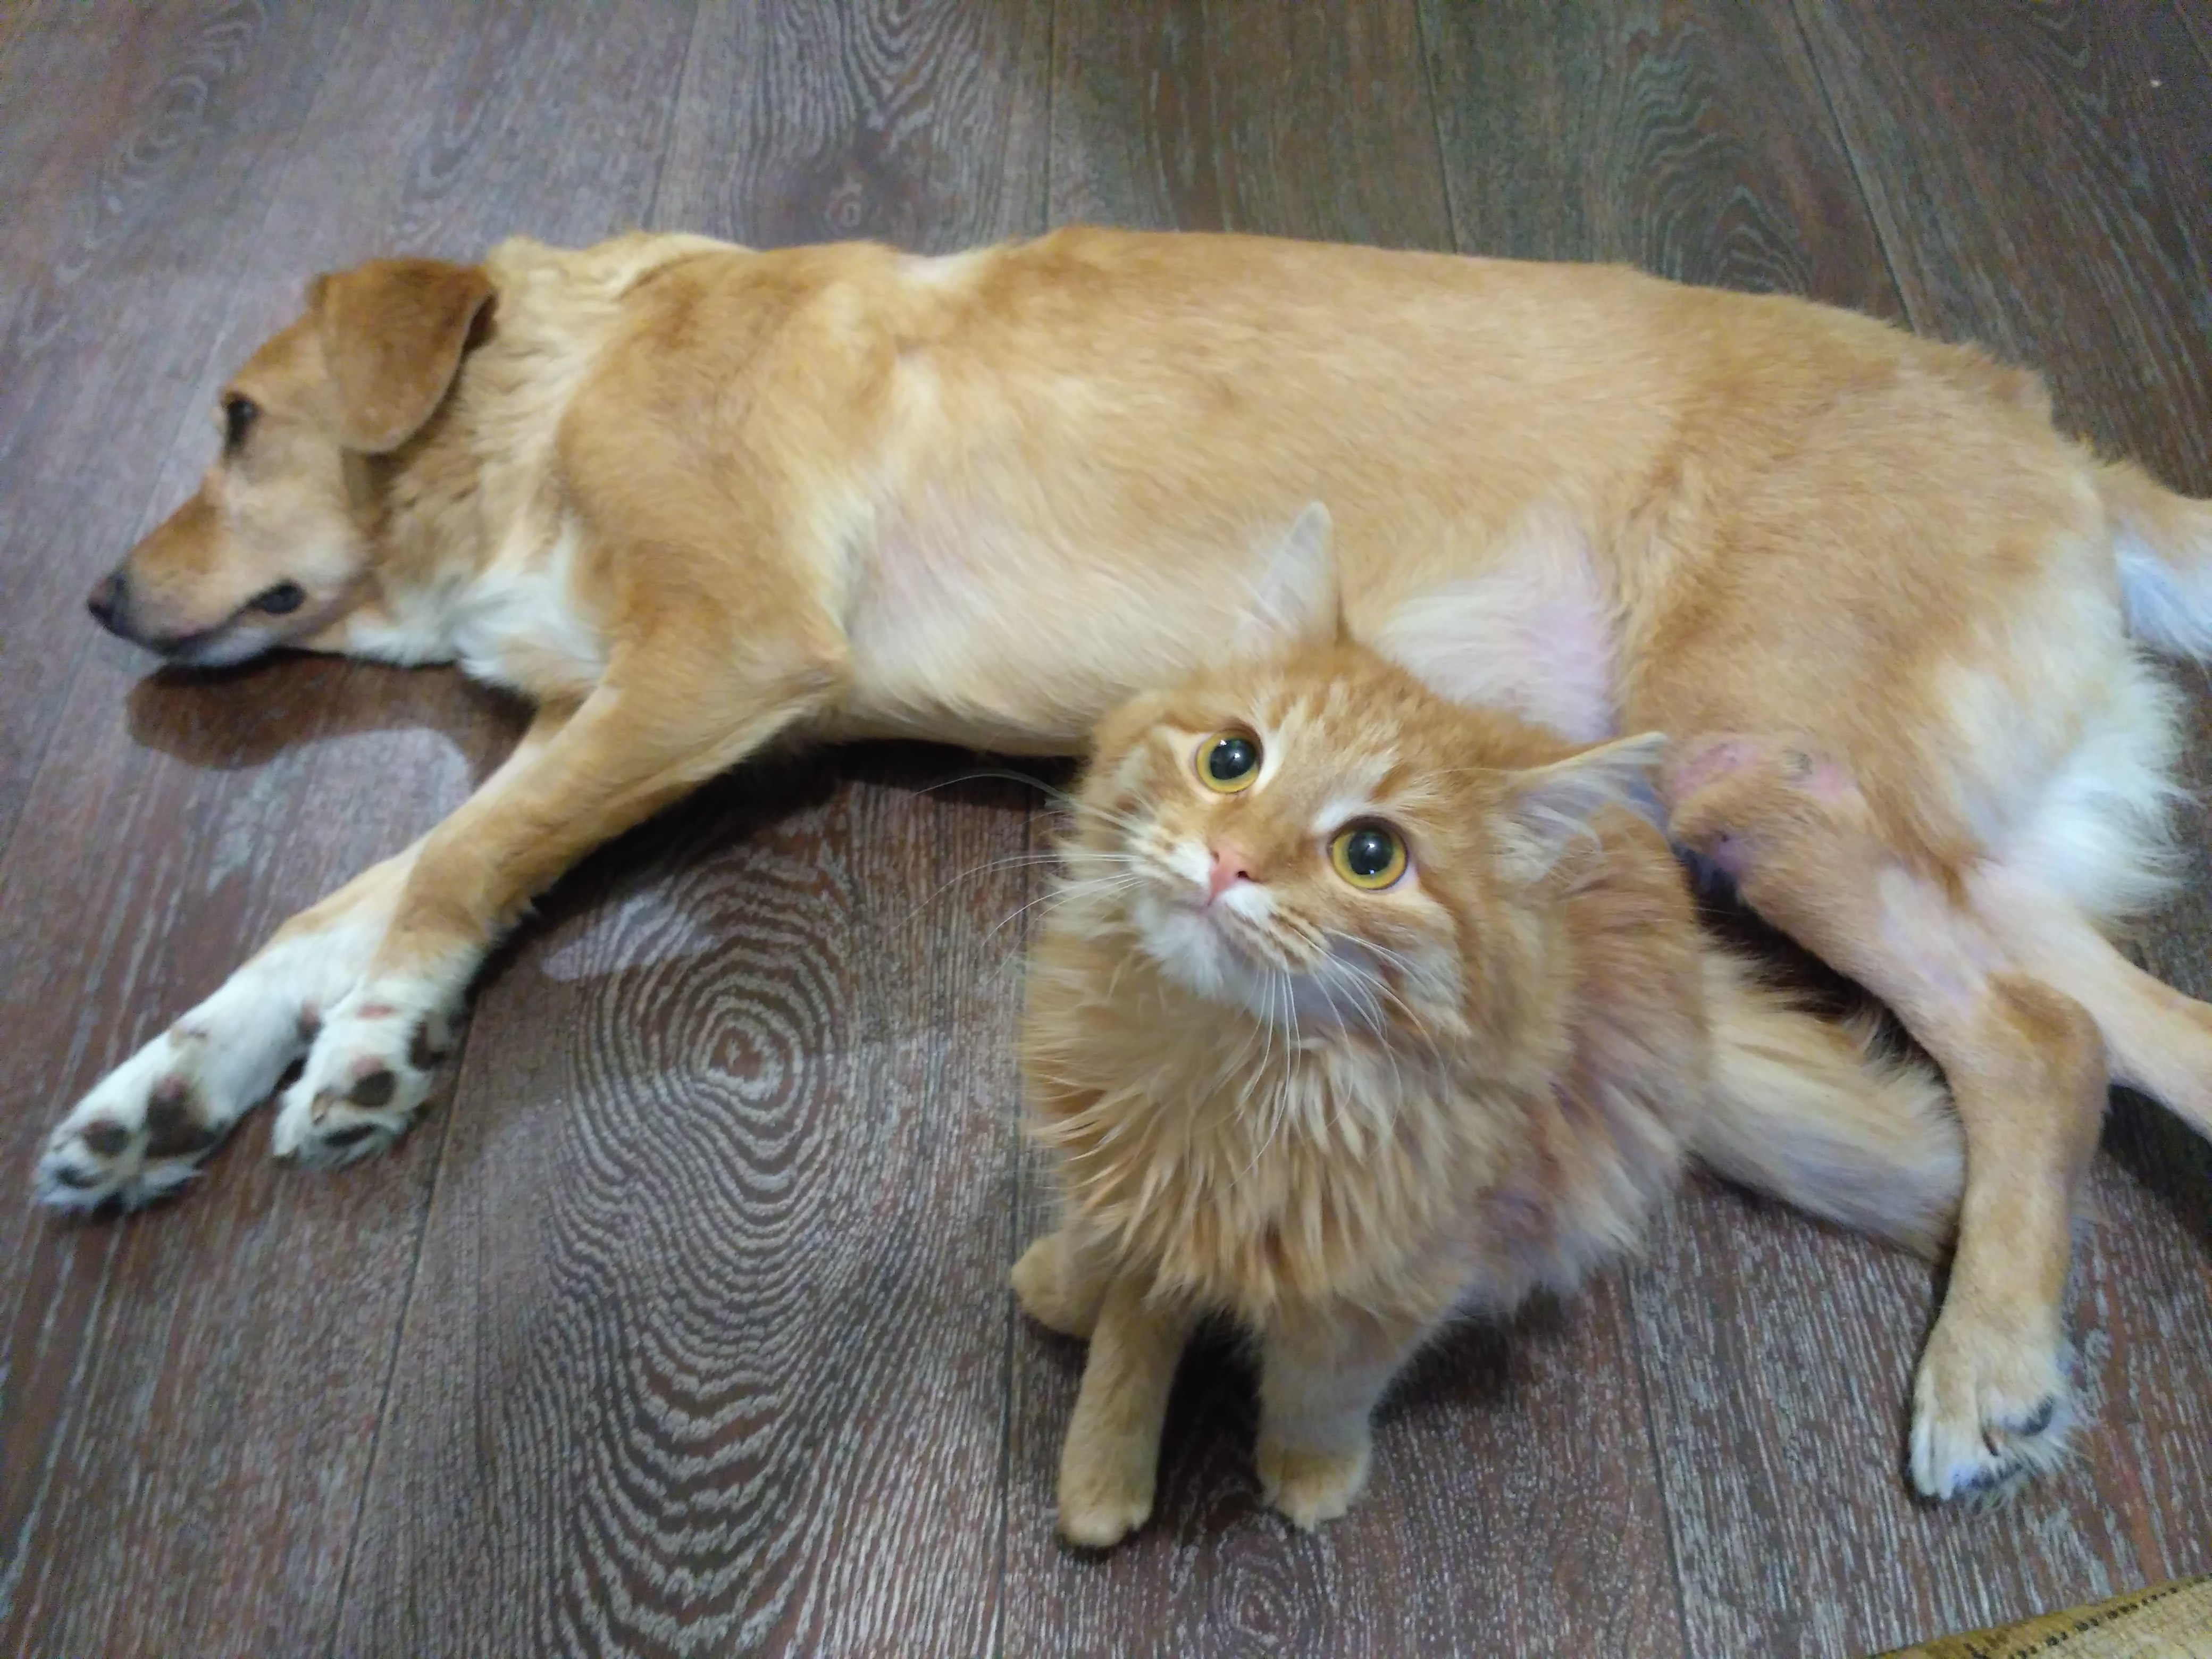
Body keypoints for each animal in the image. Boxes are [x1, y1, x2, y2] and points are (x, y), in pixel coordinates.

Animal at [1011, 507, 1967, 1546]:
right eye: (1232, 760)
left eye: (1371, 856)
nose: (1229, 861)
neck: (1223, 1077)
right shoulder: (1110, 1177)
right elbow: (1110, 1271)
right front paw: (1070, 1322)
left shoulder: (1397, 1288)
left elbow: (1319, 1392)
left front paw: (1309, 1477)